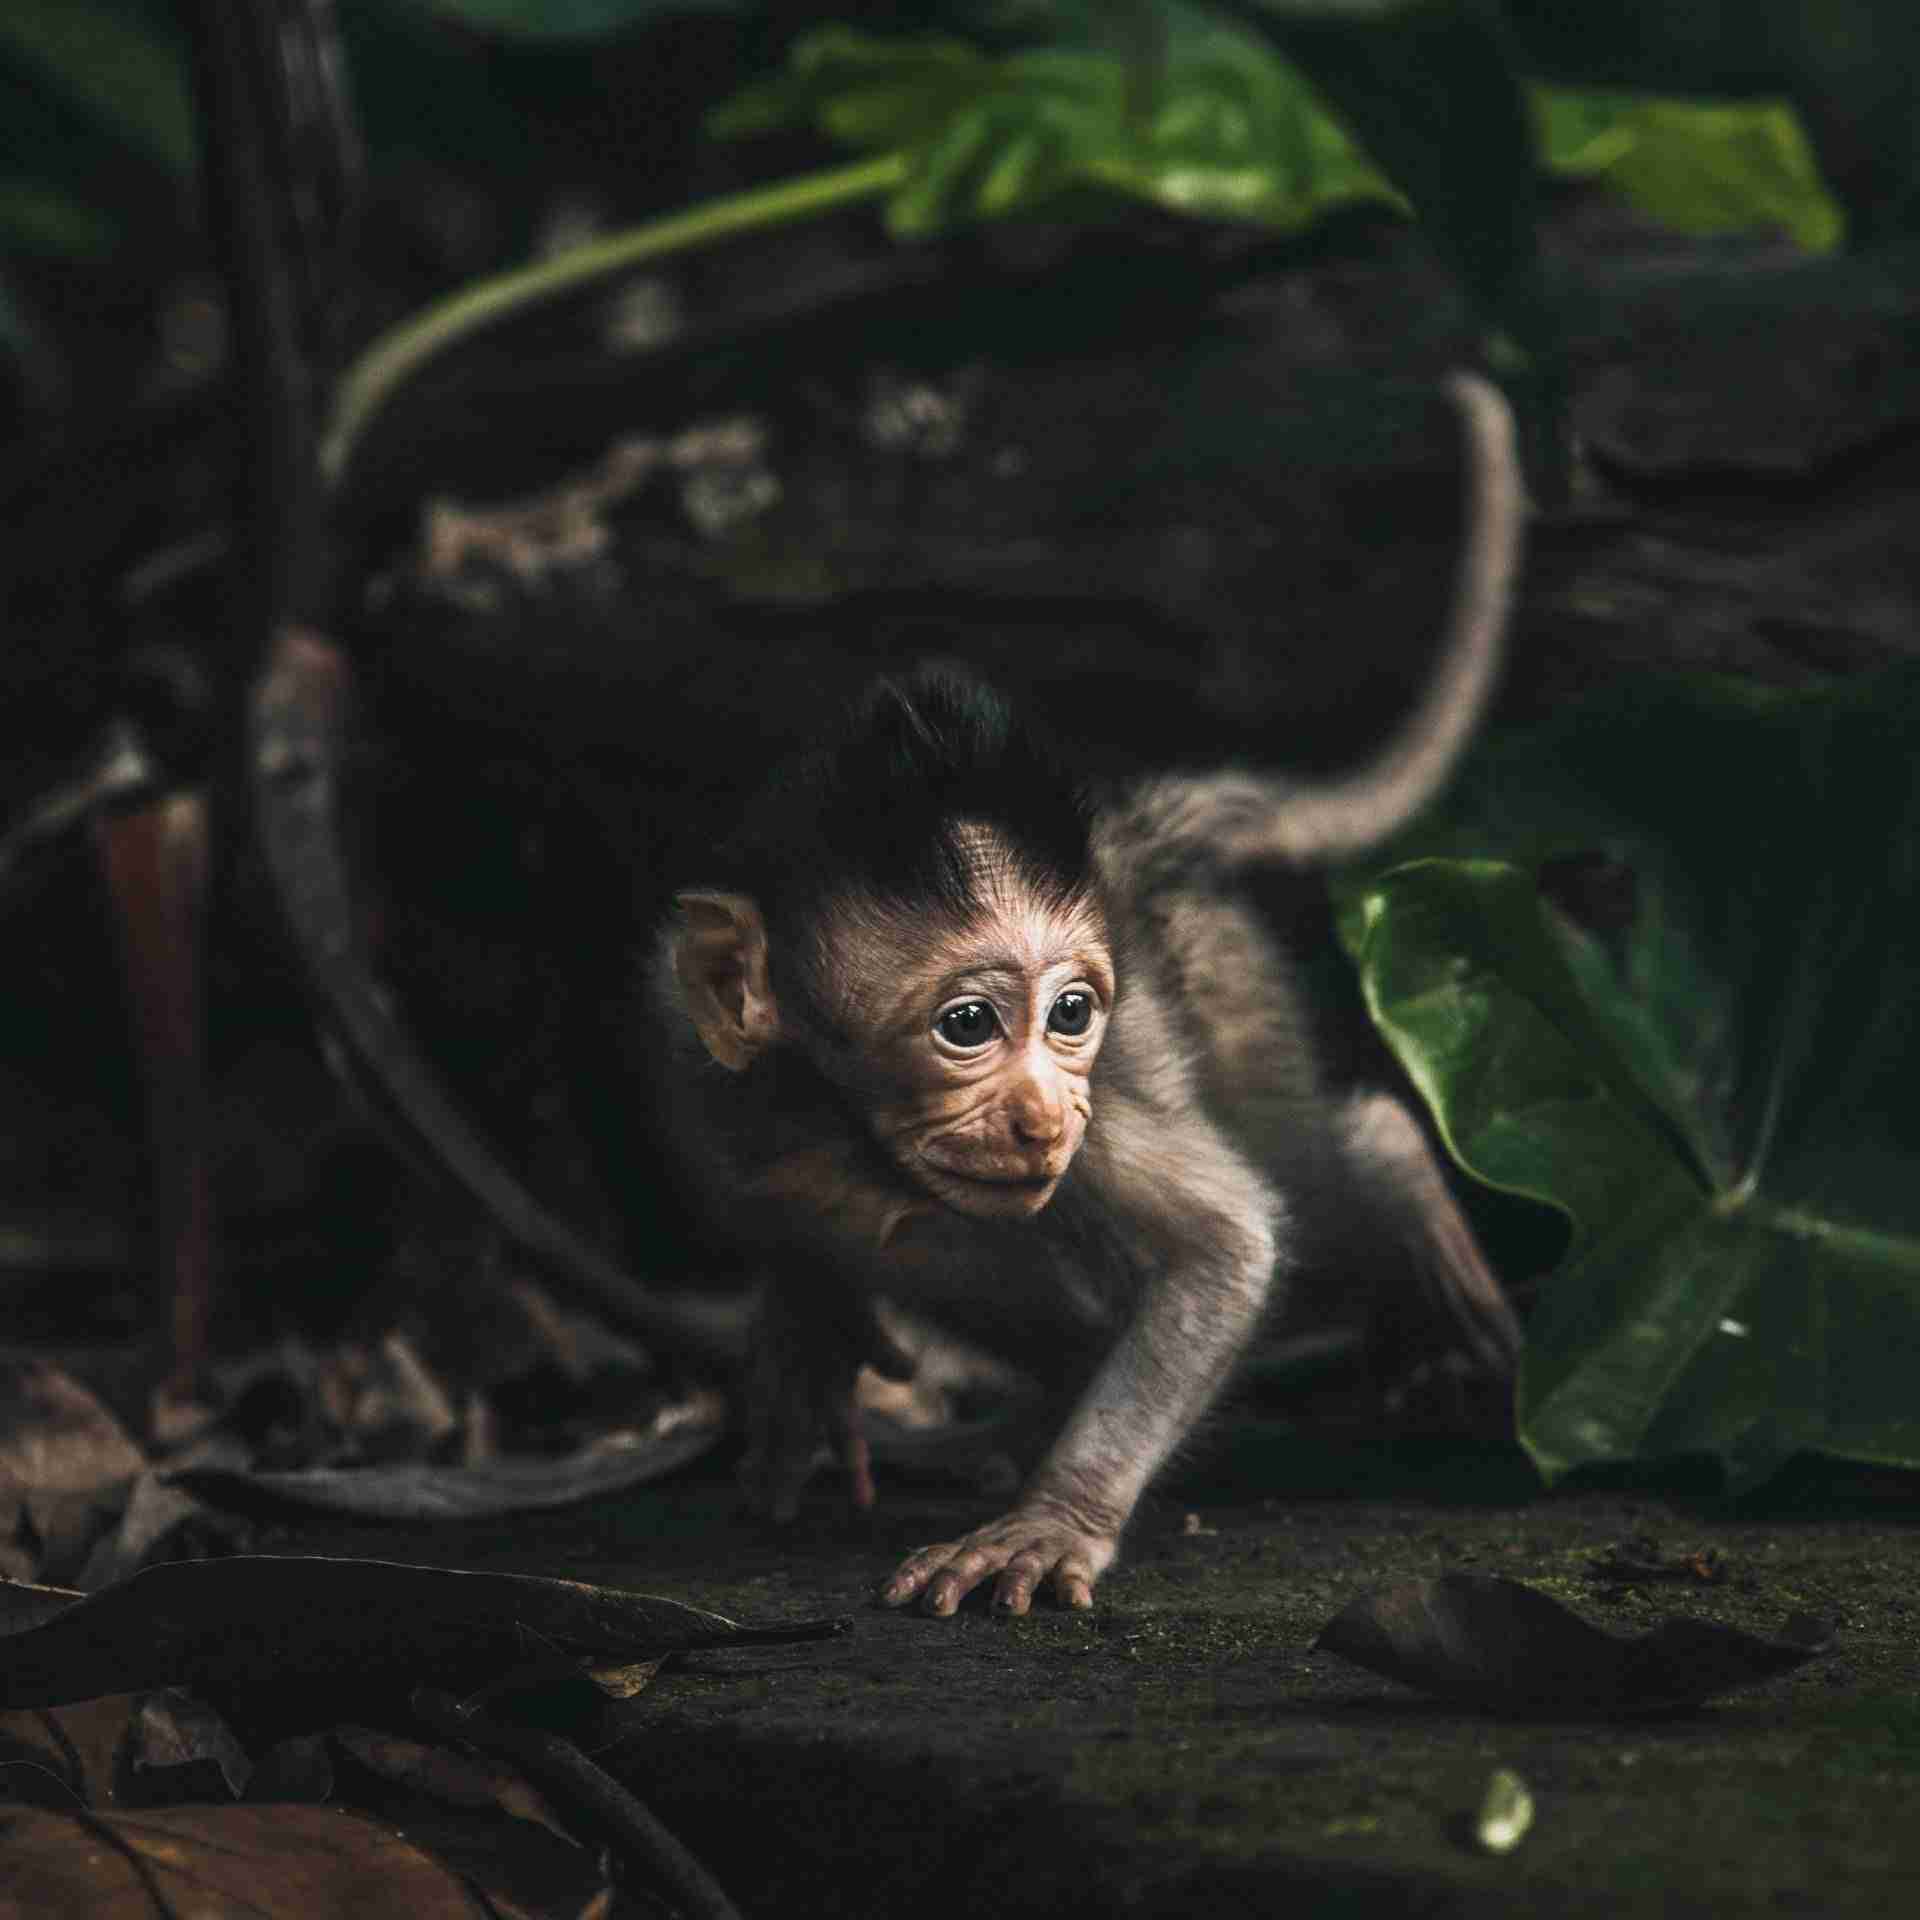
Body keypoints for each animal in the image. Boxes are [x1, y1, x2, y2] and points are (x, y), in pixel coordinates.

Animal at [646, 372, 1524, 1616]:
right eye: (967, 1026)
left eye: (1072, 1016)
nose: (1041, 1113)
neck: (856, 1137)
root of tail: (1145, 842)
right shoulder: (699, 1075)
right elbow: (775, 1220)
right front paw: (808, 1343)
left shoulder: (1106, 1120)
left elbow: (1227, 1244)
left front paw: (1052, 1521)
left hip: (1235, 993)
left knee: (1315, 1160)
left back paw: (1399, 1185)